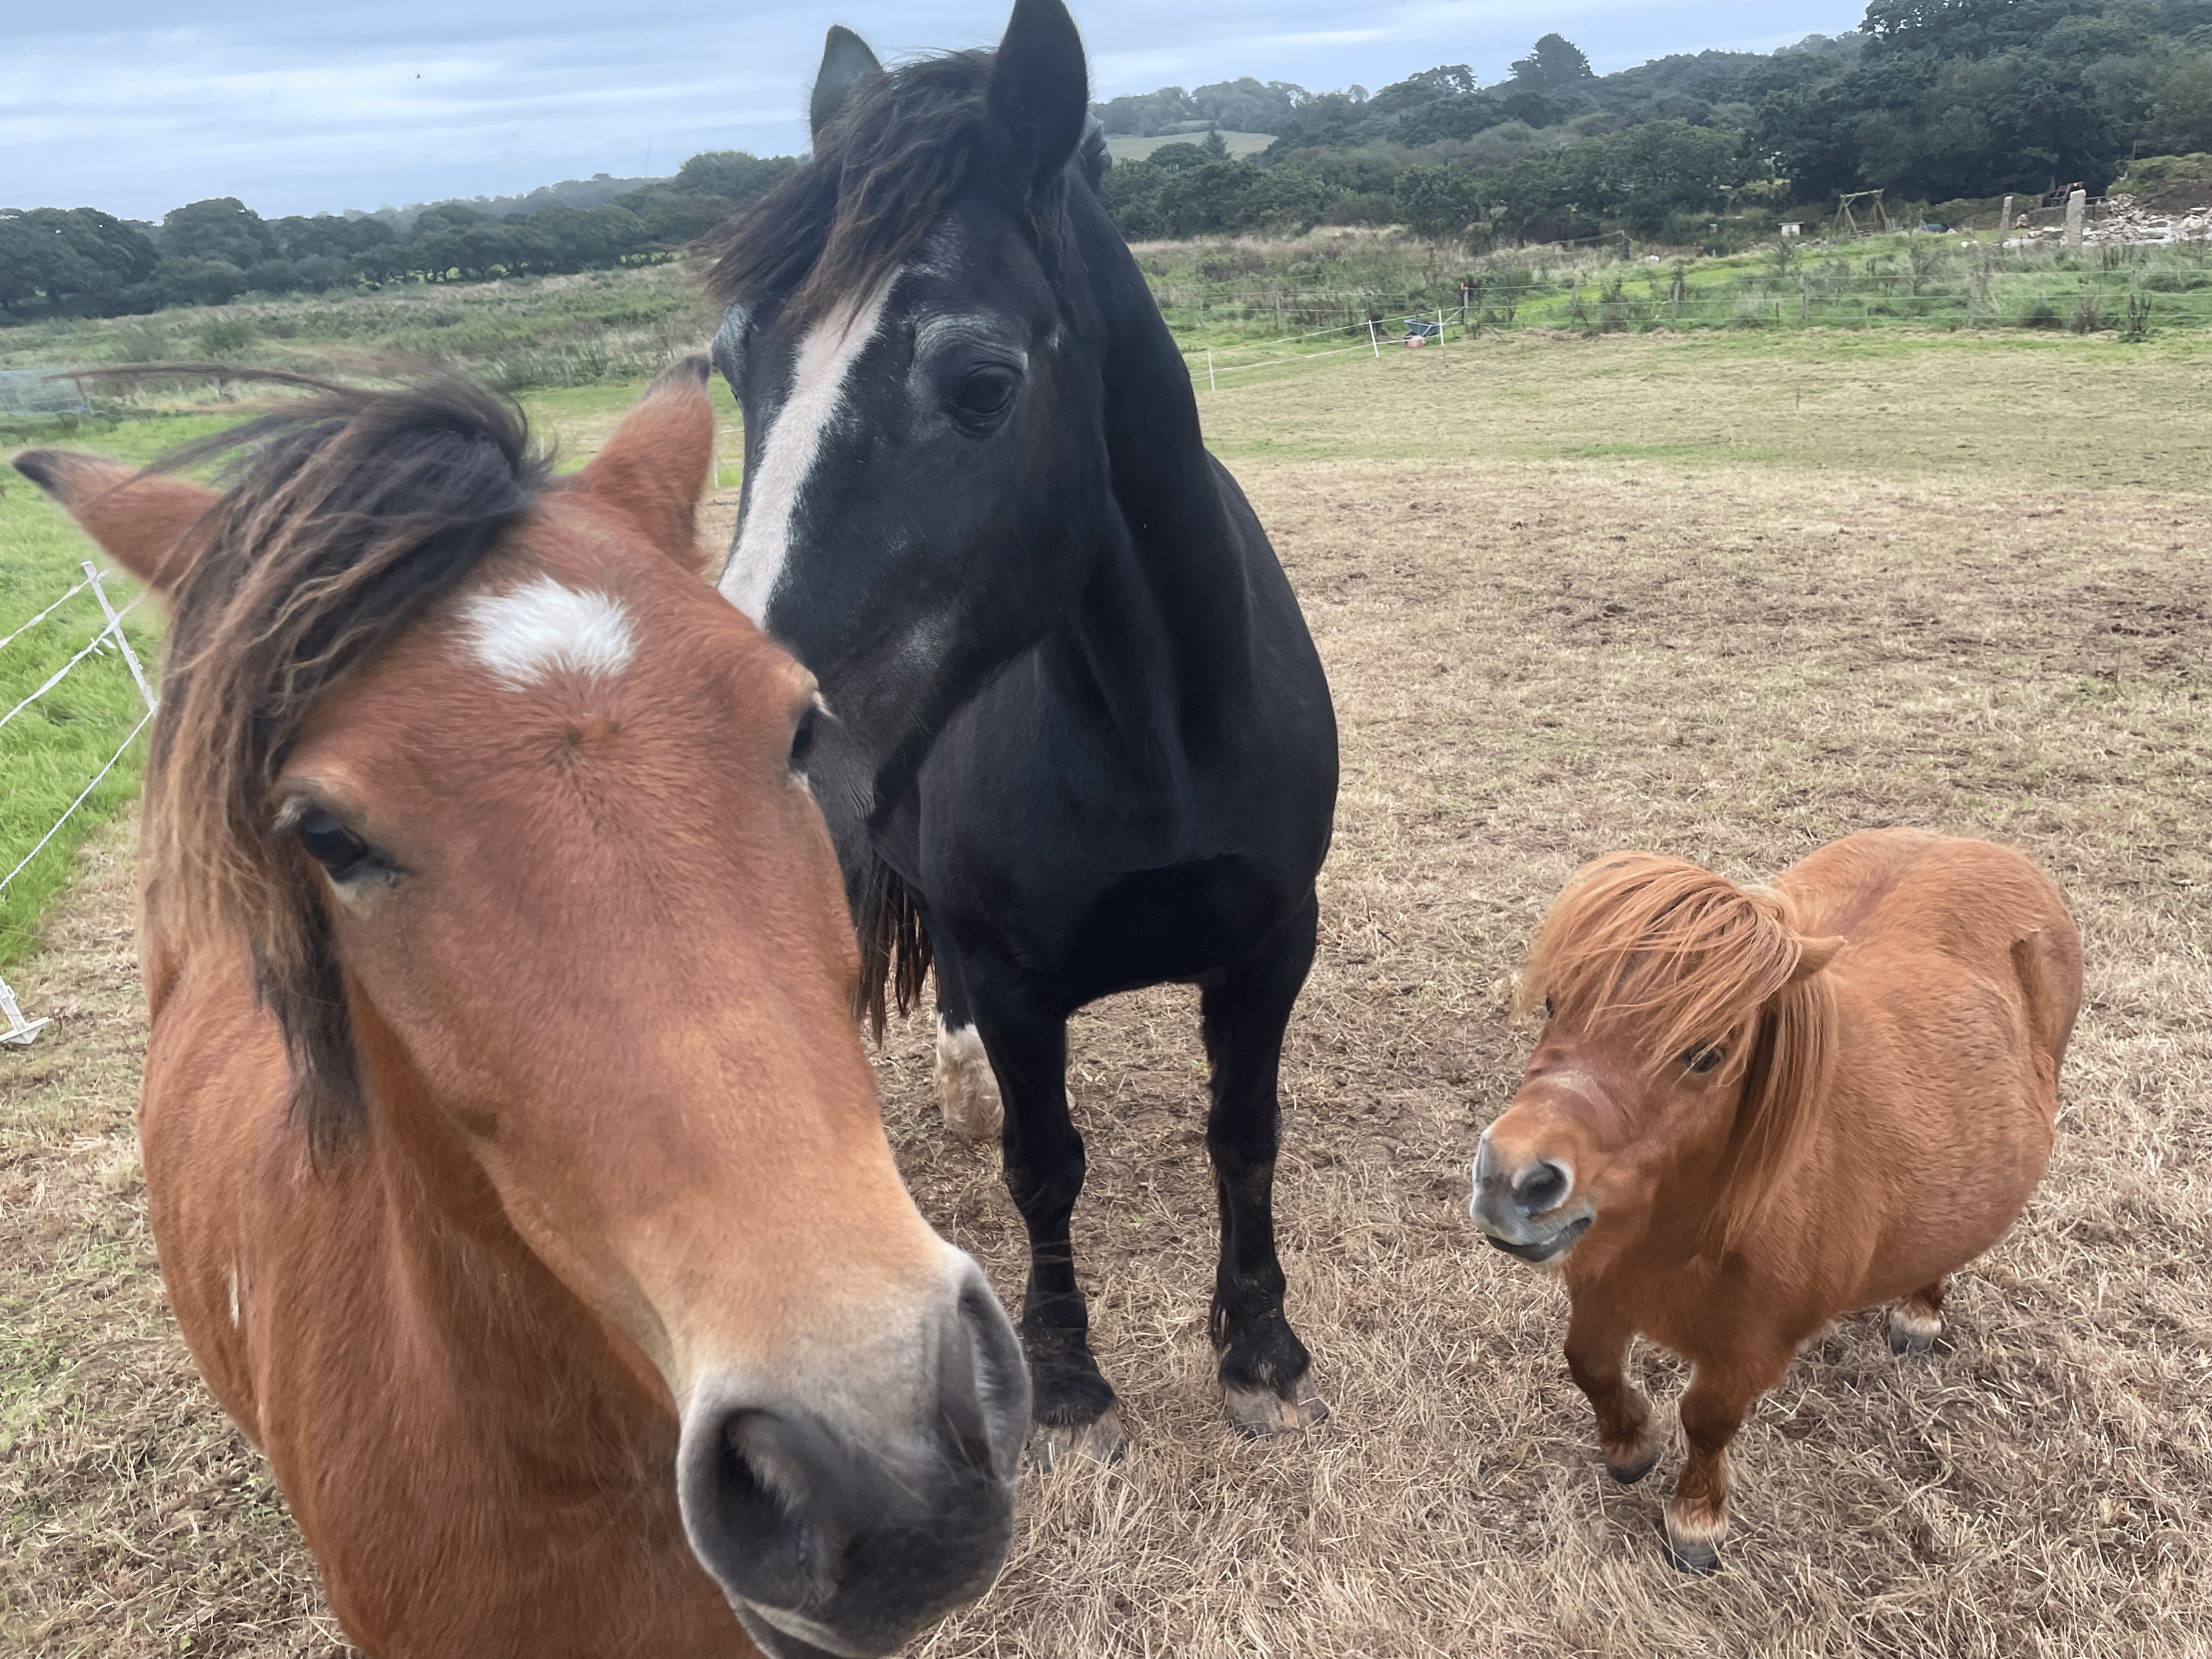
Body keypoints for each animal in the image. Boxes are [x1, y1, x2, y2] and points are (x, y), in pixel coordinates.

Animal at [702, 0, 1339, 1465]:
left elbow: (1245, 1135)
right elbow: (1047, 1167)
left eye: (982, 384)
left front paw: (1259, 1351)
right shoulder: (1014, 977)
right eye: (733, 367)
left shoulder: (1274, 943)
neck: (1159, 738)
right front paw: (1067, 1385)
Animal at [1469, 828, 2080, 1573]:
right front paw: (1630, 1447)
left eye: (1706, 1055)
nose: (1509, 1180)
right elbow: (1588, 1363)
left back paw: (1919, 1312)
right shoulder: (1598, 1286)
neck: (1694, 1227)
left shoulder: (1747, 1355)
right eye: (1556, 1004)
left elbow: (1707, 1421)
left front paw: (1696, 1519)